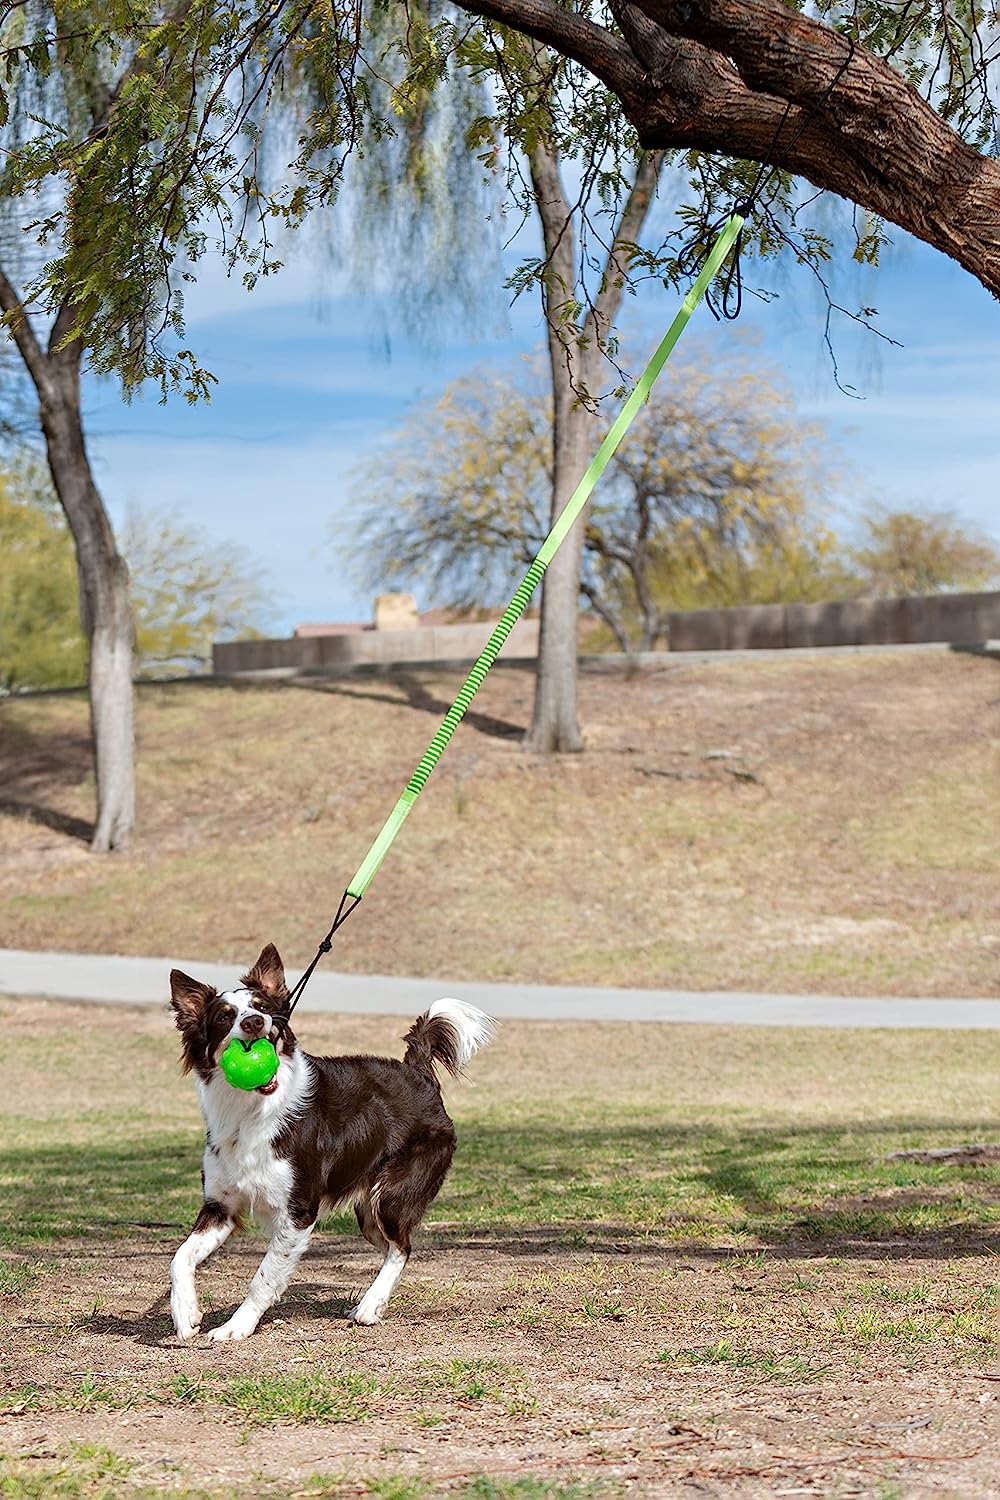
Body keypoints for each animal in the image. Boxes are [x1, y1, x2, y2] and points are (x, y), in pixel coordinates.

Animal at [169, 942, 497, 1344]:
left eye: (262, 1007)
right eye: (223, 1016)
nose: (253, 1023)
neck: (250, 1110)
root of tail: (416, 1071)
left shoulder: (298, 1213)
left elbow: (264, 1276)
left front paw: (237, 1325)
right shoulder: (221, 1207)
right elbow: (180, 1257)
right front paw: (186, 1313)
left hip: (391, 1195)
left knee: (402, 1247)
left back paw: (369, 1308)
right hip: (368, 1212)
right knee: (393, 1245)